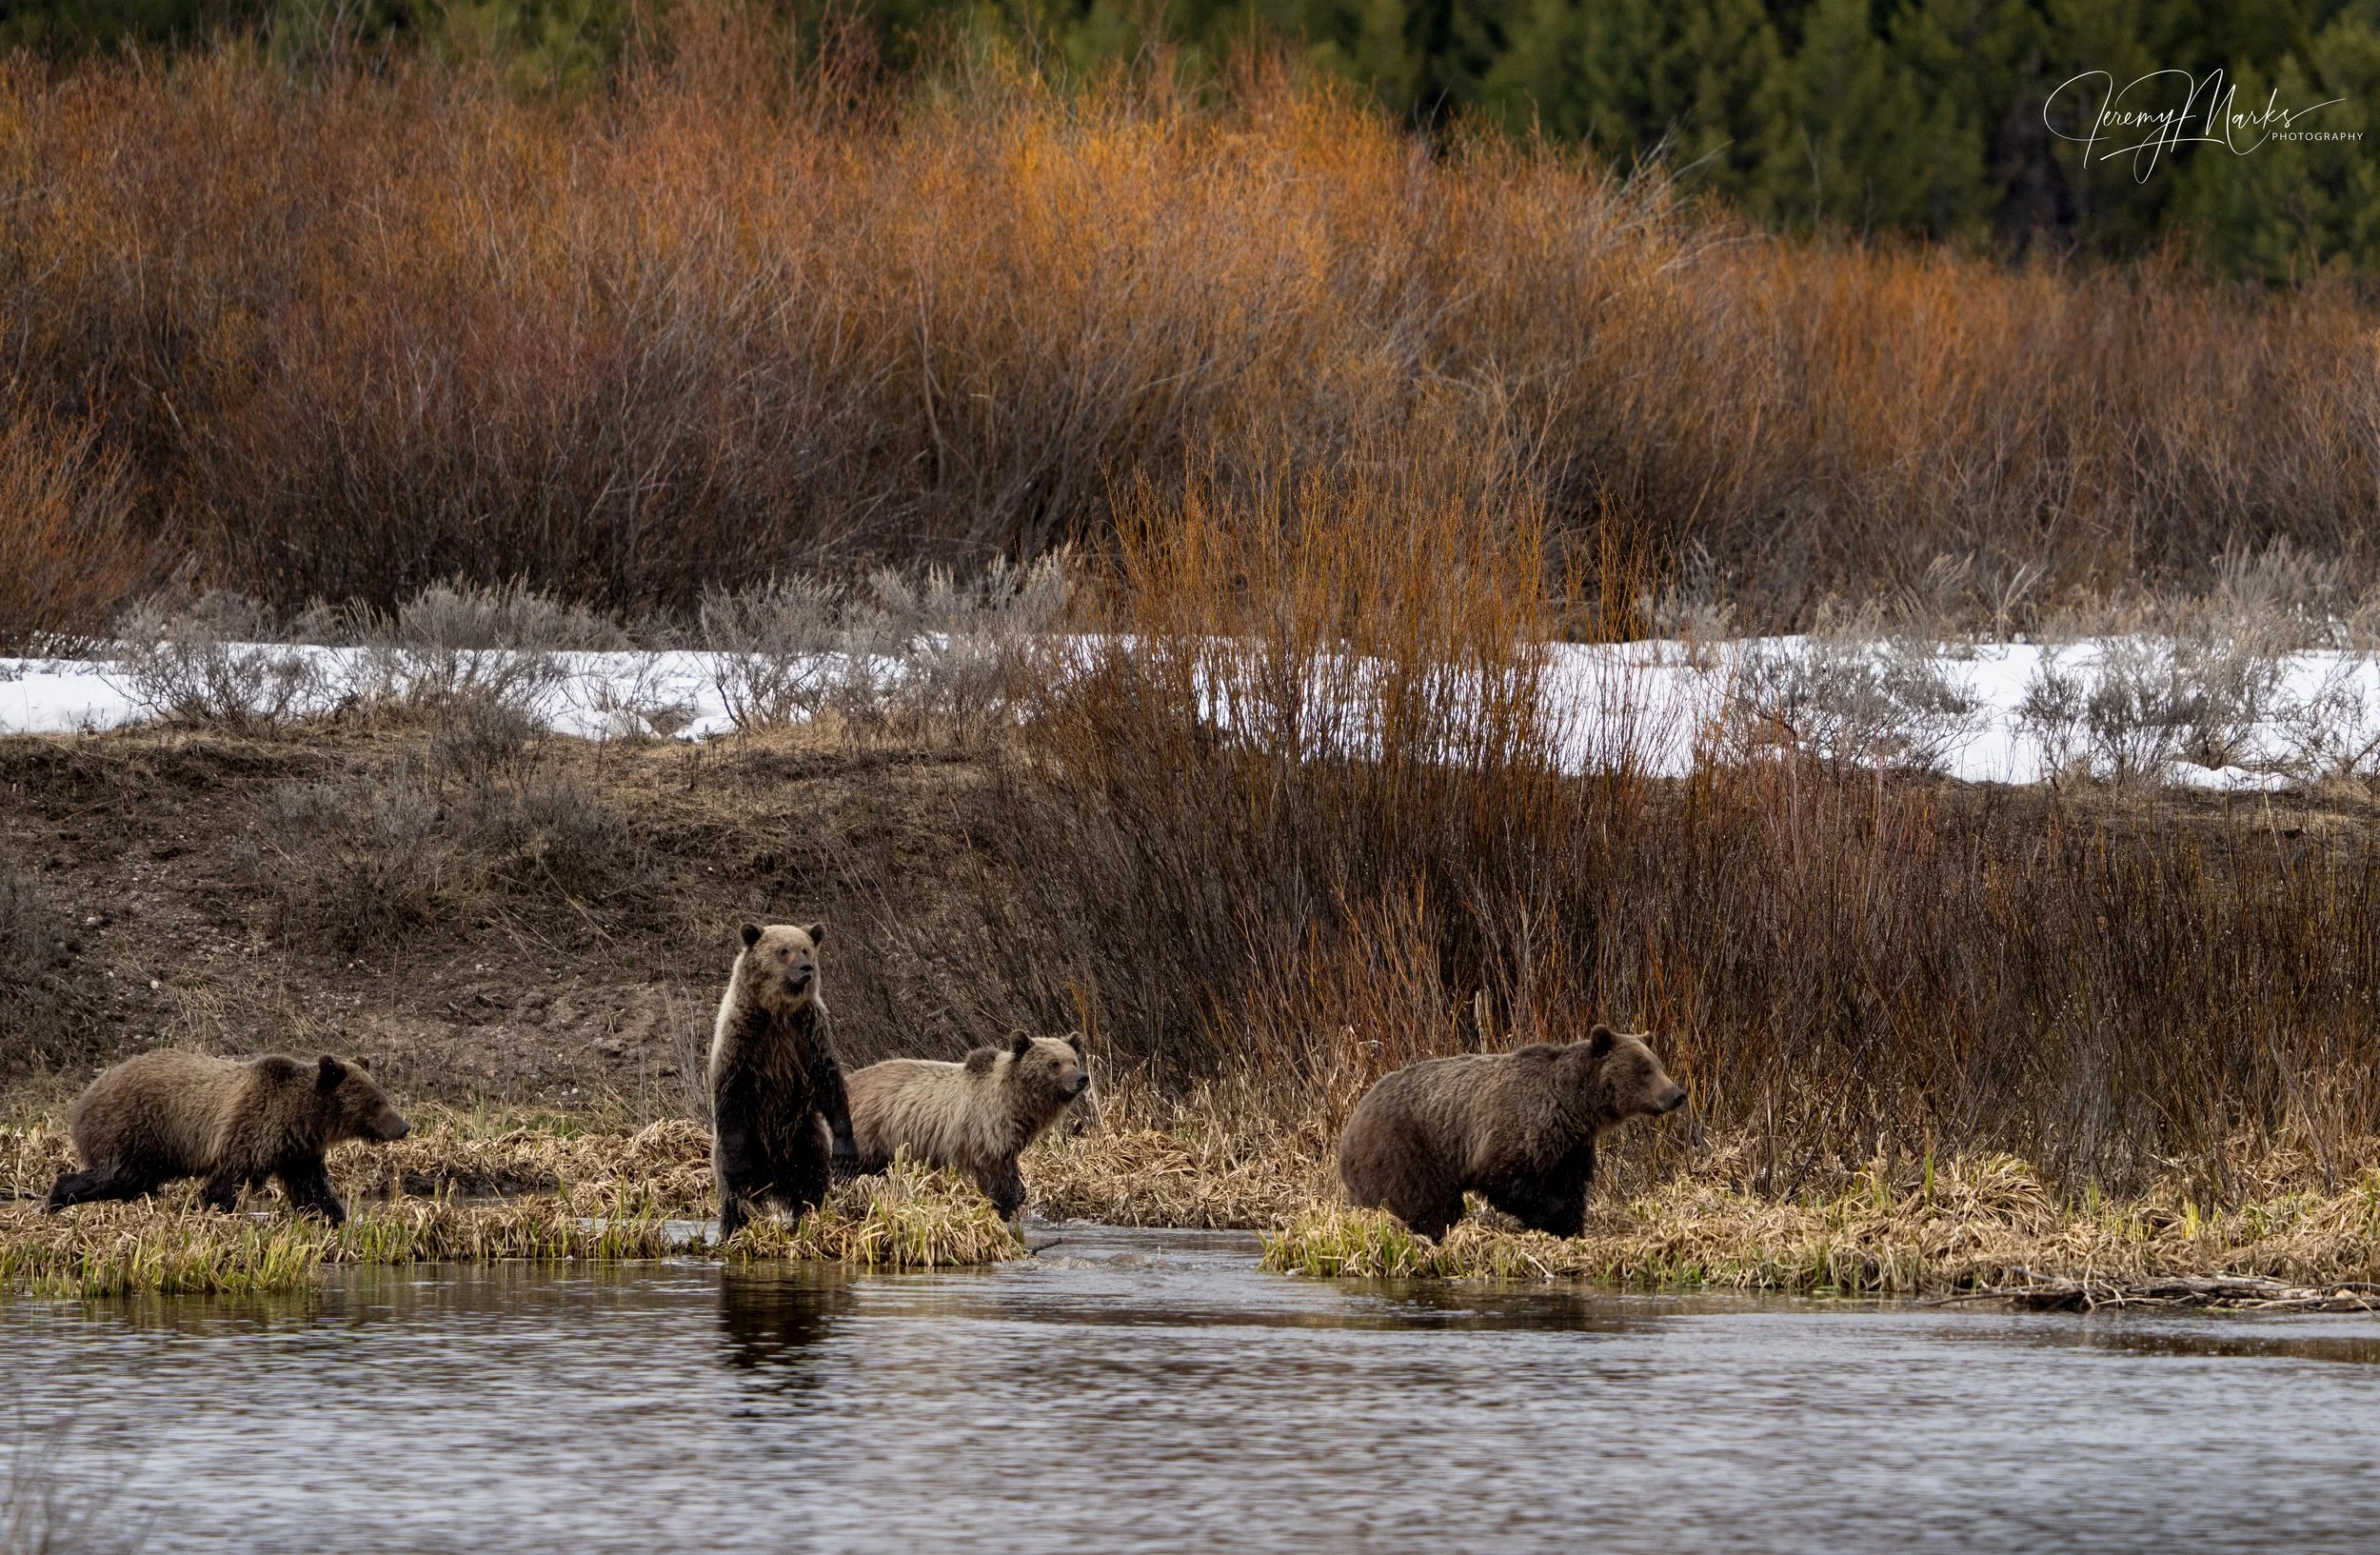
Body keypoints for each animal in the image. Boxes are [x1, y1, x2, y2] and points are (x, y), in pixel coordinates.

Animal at [45, 1049, 411, 1225]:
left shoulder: (298, 1154)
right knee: (118, 1176)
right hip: (133, 1130)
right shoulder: (249, 1132)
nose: (404, 1126)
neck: (304, 1120)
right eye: (376, 1101)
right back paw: (54, 1199)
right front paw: (225, 1213)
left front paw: (338, 1219)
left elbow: (313, 1191)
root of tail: (85, 1098)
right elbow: (223, 1186)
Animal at [708, 920, 858, 1237]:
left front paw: (846, 1156)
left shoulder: (810, 1034)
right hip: (754, 1143)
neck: (779, 1011)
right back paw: (732, 1229)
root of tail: (774, 1183)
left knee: (811, 1183)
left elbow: (830, 1085)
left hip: (805, 1139)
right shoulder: (744, 1039)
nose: (805, 968)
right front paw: (738, 1171)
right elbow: (731, 1093)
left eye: (806, 949)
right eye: (783, 950)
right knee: (733, 1201)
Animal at [844, 1033, 1090, 1219]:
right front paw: (1003, 1205)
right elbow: (995, 1177)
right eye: (1054, 1063)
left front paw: (1015, 1198)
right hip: (870, 1130)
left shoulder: (1009, 1140)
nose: (1082, 1078)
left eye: (1073, 1060)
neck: (1016, 1102)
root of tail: (850, 1079)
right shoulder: (984, 1133)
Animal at [1336, 1024, 1686, 1240]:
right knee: (1429, 1204)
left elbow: (1573, 1189)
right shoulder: (1516, 1130)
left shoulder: (1570, 1149)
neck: (1572, 1109)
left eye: (1659, 1064)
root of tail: (1353, 1120)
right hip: (1405, 1151)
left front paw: (1572, 1228)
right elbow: (1505, 1179)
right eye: (1644, 1070)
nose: (1676, 1094)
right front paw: (1551, 1219)